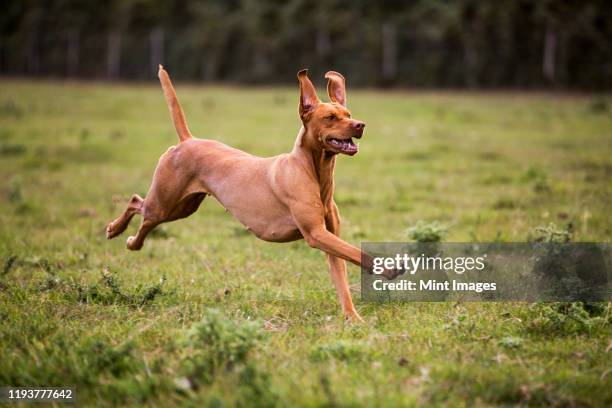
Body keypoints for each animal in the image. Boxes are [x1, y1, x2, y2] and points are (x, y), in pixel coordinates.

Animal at [107, 66, 376, 322]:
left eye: (348, 114)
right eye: (330, 117)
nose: (360, 125)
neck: (311, 172)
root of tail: (188, 140)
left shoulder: (329, 235)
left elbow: (342, 278)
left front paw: (353, 318)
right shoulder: (316, 233)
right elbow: (358, 253)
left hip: (182, 207)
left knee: (142, 209)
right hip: (164, 204)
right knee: (137, 204)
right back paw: (120, 233)